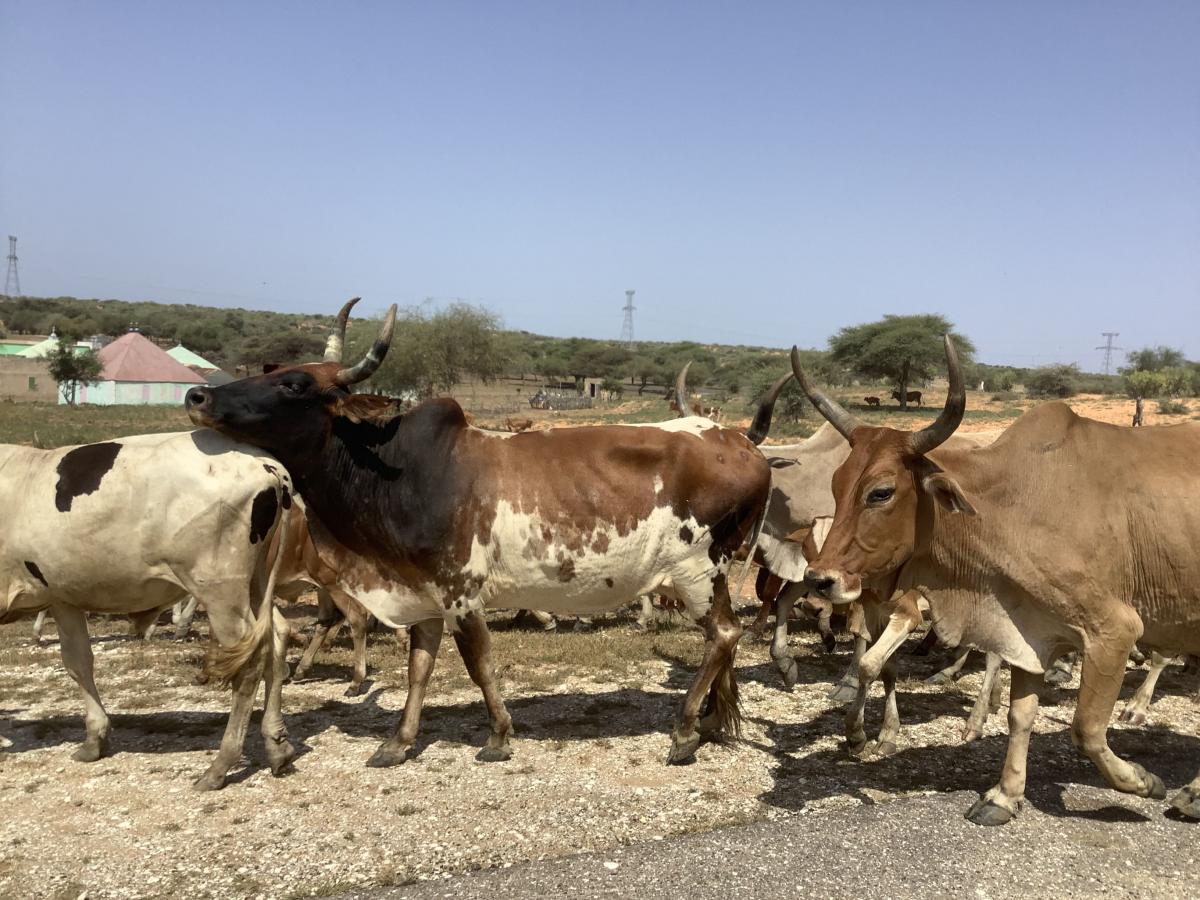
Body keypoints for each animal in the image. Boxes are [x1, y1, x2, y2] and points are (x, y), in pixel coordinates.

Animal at [0, 430, 294, 790]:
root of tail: (265, 463)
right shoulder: (62, 598)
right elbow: (78, 663)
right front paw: (94, 740)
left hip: (219, 589)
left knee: (249, 663)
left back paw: (219, 766)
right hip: (256, 582)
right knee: (276, 638)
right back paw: (277, 746)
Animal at [185, 301, 771, 767]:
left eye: (294, 386)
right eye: (279, 371)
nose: (197, 396)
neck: (396, 470)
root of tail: (741, 444)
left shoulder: (460, 592)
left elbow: (478, 664)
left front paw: (497, 736)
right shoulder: (421, 592)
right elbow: (419, 668)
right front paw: (398, 742)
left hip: (697, 571)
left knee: (724, 634)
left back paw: (685, 730)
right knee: (724, 640)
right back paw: (710, 723)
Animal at [791, 336, 1200, 823]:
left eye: (881, 492)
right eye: (836, 485)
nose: (819, 580)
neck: (1009, 506)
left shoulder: (1114, 631)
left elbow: (1086, 727)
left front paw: (1140, 780)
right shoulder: (1029, 631)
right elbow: (1020, 716)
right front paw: (1004, 796)